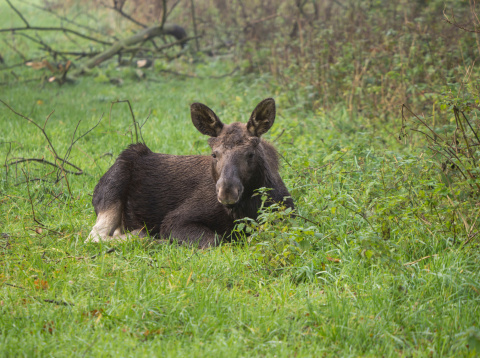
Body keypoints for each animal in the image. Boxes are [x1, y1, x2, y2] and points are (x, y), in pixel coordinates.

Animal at [87, 98, 294, 249]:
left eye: (250, 153)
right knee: (96, 236)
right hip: (112, 192)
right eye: (214, 153)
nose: (227, 191)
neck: (246, 208)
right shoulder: (175, 220)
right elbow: (215, 240)